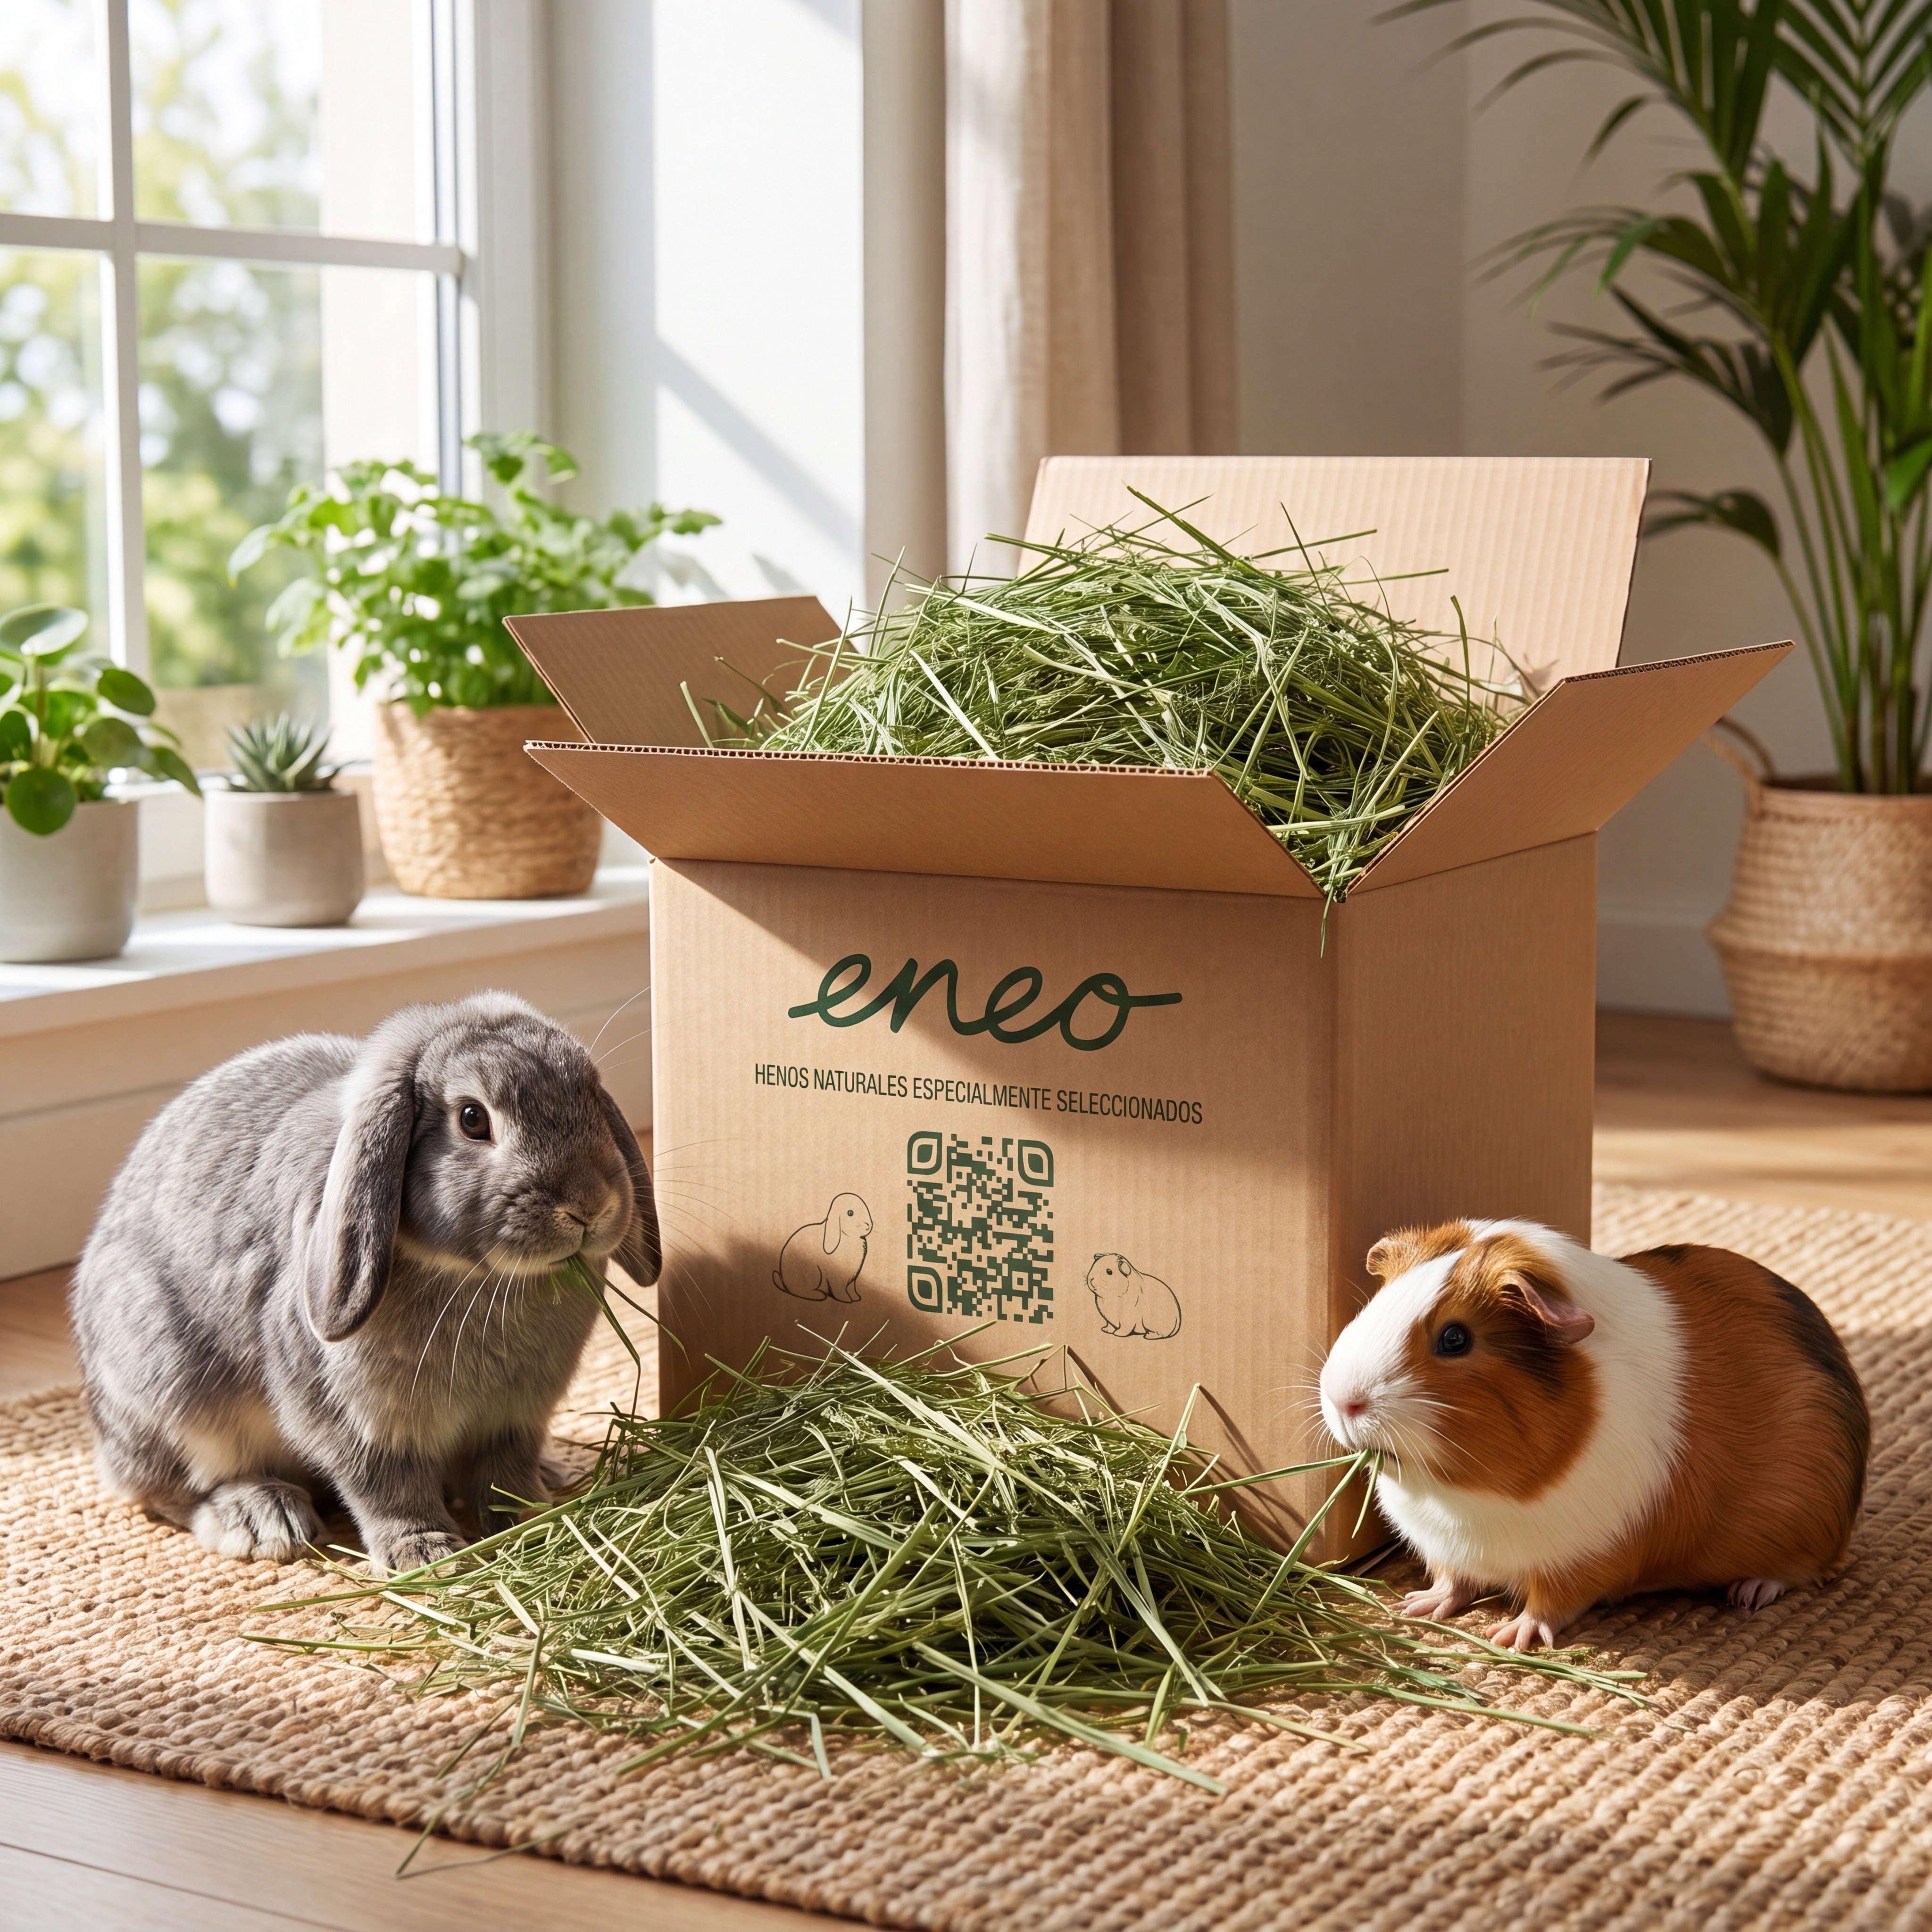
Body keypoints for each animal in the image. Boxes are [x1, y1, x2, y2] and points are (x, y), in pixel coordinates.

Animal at [70, 991, 659, 1577]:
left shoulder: (513, 1418)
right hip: (169, 1390)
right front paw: (426, 1554)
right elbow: (385, 1486)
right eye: (473, 1119)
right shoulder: (358, 1420)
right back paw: (263, 1520)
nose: (589, 1206)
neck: (471, 1275)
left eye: (591, 1093)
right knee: (171, 1486)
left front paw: (534, 1520)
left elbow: (503, 1475)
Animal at [773, 1193, 872, 1302]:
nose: (868, 1225)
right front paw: (846, 1299)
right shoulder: (836, 1279)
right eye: (850, 1213)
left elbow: (852, 1288)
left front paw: (856, 1298)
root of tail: (784, 1283)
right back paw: (819, 1295)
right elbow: (839, 1289)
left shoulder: (853, 1279)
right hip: (815, 1274)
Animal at [1085, 1253, 1182, 1339]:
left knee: (1161, 1334)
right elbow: (1110, 1325)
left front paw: (1118, 1334)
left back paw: (1148, 1336)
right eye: (1094, 1265)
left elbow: (1125, 1328)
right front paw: (1106, 1330)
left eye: (1109, 1272)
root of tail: (1178, 1321)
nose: (1091, 1280)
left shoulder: (1127, 1318)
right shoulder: (1108, 1319)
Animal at [1319, 1218, 1868, 1650]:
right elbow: (1452, 1584)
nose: (1344, 1400)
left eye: (1455, 1339)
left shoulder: (1584, 1558)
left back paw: (1749, 1593)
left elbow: (1550, 1604)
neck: (1462, 1493)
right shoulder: (1448, 1552)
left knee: (1806, 1570)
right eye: (1377, 1304)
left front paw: (1512, 1637)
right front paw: (1416, 1606)